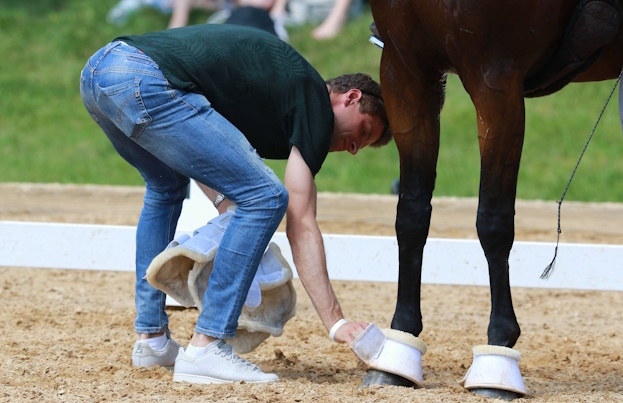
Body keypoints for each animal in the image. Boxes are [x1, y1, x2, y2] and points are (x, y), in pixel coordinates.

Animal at [368, 0, 620, 398]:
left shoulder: (496, 80)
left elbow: (493, 222)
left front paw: (498, 354)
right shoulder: (404, 70)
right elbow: (411, 215)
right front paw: (399, 346)